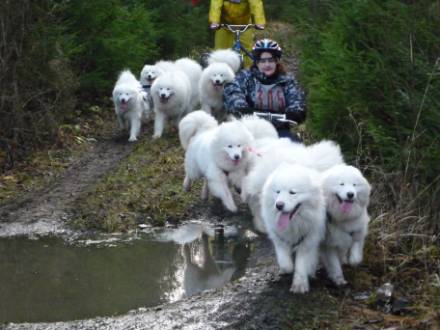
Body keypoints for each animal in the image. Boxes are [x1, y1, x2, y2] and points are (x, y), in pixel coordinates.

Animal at [262, 163, 326, 294]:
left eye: (292, 192)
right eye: (277, 192)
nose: (279, 205)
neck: (293, 224)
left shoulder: (308, 240)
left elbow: (301, 264)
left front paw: (300, 284)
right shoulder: (278, 237)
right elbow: (285, 262)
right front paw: (287, 268)